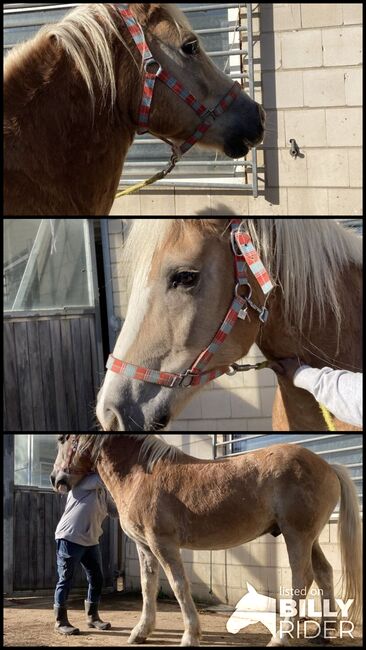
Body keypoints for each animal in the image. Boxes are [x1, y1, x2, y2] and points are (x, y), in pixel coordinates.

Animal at [51, 432, 364, 644]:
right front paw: (141, 632)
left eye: (63, 439)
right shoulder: (145, 548)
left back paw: (282, 637)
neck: (140, 474)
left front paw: (191, 635)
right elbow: (148, 588)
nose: (56, 479)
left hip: (296, 535)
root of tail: (329, 466)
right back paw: (323, 633)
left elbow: (179, 586)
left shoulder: (163, 544)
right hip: (309, 538)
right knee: (324, 573)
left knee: (303, 578)